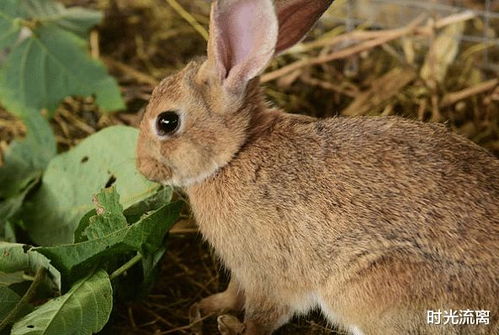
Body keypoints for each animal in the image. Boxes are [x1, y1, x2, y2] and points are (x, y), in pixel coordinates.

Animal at [137, 0, 499, 334]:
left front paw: (234, 326)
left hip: (368, 290)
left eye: (167, 122)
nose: (142, 168)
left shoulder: (267, 274)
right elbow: (232, 292)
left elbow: (261, 314)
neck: (236, 153)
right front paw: (206, 307)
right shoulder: (242, 270)